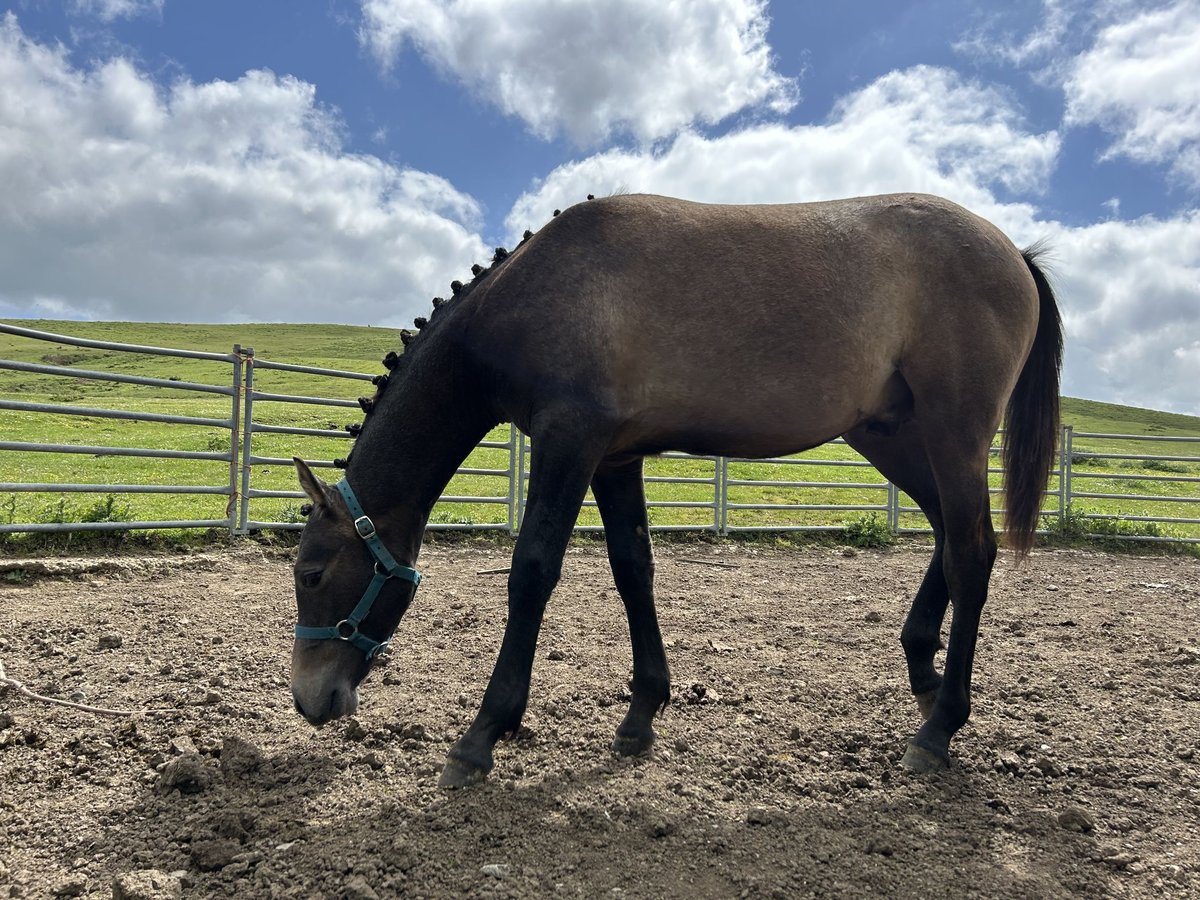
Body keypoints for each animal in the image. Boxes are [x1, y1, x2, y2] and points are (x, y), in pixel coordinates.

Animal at [288, 192, 1060, 787]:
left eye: (311, 573)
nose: (308, 700)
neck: (536, 289)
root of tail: (1014, 253)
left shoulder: (569, 440)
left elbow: (532, 572)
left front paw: (482, 735)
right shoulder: (613, 458)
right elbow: (634, 570)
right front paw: (642, 714)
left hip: (953, 433)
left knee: (973, 552)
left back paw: (941, 727)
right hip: (895, 437)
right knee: (950, 537)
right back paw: (922, 669)